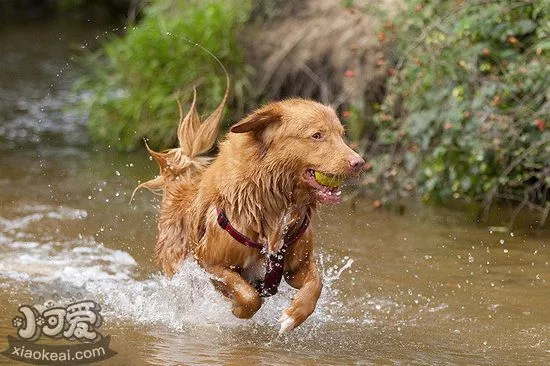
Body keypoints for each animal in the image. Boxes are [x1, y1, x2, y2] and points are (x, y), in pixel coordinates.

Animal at [136, 87, 364, 334]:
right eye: (317, 135)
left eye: (341, 134)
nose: (359, 162)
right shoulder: (211, 262)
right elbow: (249, 296)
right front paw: (239, 310)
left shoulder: (297, 266)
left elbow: (316, 284)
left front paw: (294, 315)